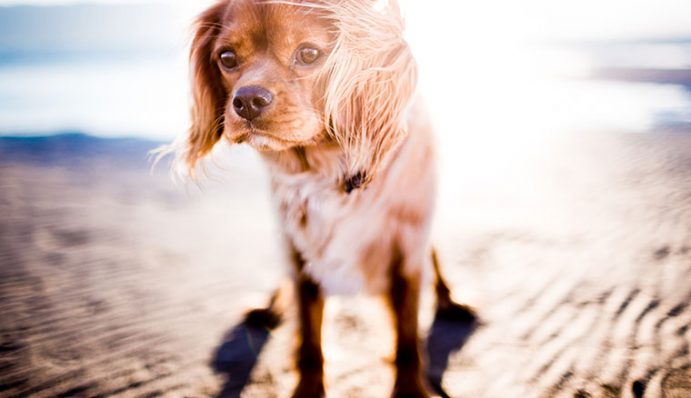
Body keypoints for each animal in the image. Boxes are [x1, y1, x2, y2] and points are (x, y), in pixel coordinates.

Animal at [162, 1, 476, 396]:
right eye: (227, 58)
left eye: (309, 54)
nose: (246, 101)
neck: (329, 168)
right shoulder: (299, 250)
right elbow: (309, 339)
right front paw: (307, 387)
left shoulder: (406, 250)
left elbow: (406, 339)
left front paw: (409, 388)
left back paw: (451, 301)